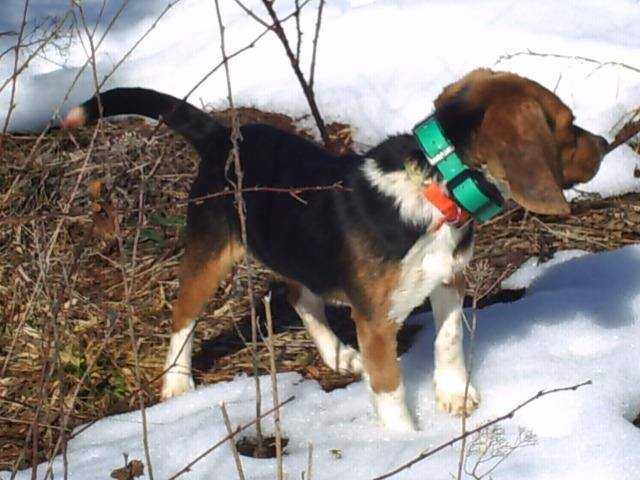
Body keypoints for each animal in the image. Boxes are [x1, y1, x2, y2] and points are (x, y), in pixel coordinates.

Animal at [62, 69, 608, 434]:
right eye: (569, 126)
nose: (605, 143)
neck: (435, 188)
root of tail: (220, 134)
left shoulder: (449, 279)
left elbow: (449, 341)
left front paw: (453, 396)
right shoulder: (376, 320)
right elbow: (389, 388)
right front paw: (404, 444)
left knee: (300, 297)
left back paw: (339, 354)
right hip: (212, 251)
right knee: (184, 314)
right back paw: (176, 384)